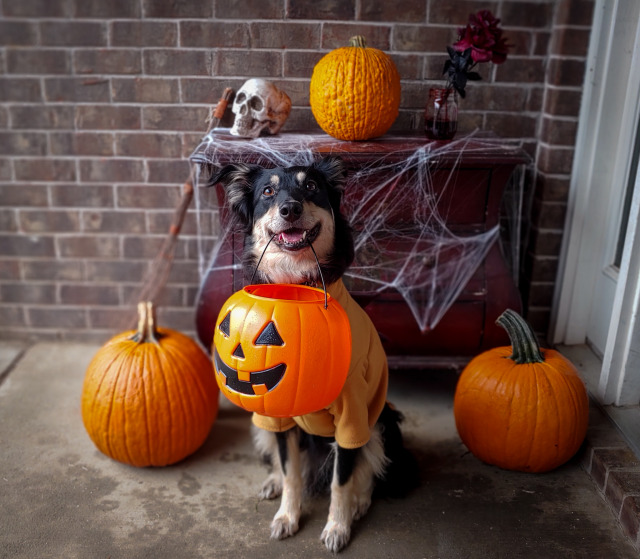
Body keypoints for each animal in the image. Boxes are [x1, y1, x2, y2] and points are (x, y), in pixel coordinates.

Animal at [212, 155, 418, 552]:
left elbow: (342, 480)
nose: (290, 209)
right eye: (268, 191)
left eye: (311, 187)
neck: (296, 283)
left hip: (382, 421)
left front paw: (338, 526)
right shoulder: (278, 416)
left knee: (368, 471)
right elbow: (291, 472)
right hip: (261, 420)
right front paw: (287, 516)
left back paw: (359, 503)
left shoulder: (353, 417)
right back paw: (274, 483)